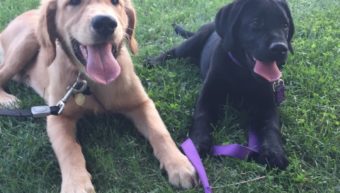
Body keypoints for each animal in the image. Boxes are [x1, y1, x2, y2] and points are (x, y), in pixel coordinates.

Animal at [0, 0, 197, 193]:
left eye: (116, 2)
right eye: (73, 1)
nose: (105, 23)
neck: (91, 83)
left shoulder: (141, 103)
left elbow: (159, 132)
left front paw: (179, 164)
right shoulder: (58, 115)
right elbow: (68, 148)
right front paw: (76, 185)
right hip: (26, 43)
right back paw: (7, 99)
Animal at [149, 0, 294, 169]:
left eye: (285, 25)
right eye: (256, 22)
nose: (281, 48)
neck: (242, 72)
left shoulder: (268, 101)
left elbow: (271, 125)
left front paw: (274, 151)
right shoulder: (208, 93)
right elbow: (202, 115)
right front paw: (197, 142)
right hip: (192, 43)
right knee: (173, 51)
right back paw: (153, 61)